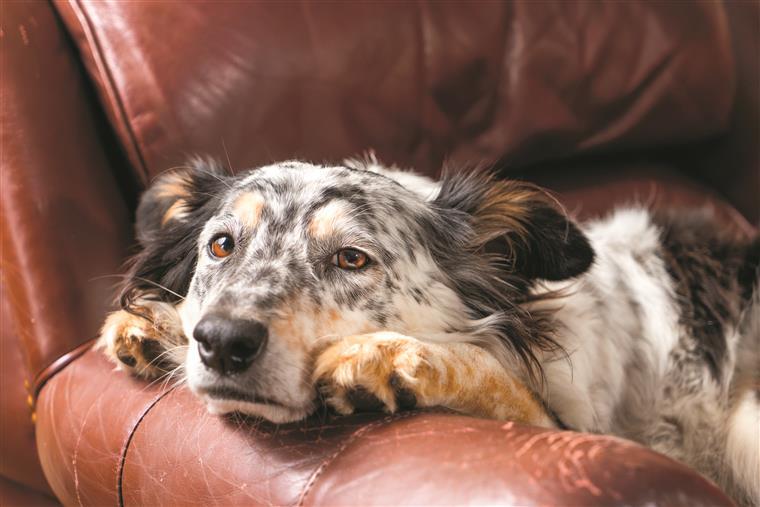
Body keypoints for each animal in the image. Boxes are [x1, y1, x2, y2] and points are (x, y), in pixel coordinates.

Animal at [99, 157, 756, 506]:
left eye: (352, 259)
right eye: (221, 245)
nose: (222, 342)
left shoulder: (586, 431)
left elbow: (491, 373)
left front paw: (384, 358)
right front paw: (156, 324)